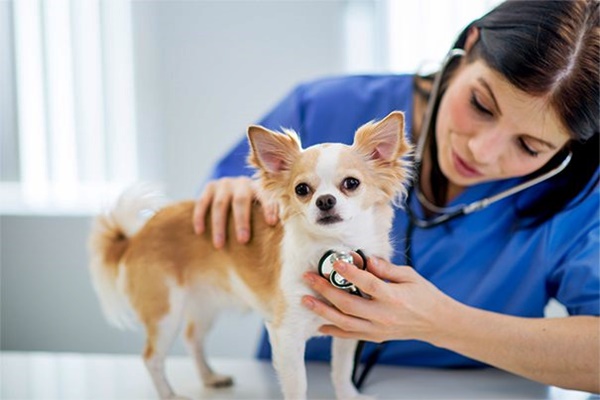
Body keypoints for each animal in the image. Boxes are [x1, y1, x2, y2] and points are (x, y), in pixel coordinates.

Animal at [88, 110, 412, 400]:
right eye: (302, 189)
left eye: (351, 183)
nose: (325, 201)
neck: (334, 247)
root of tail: (137, 235)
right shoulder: (286, 335)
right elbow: (298, 386)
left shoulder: (348, 330)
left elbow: (342, 373)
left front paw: (349, 396)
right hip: (165, 311)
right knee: (152, 358)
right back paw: (170, 395)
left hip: (204, 302)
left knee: (192, 338)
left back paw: (210, 377)